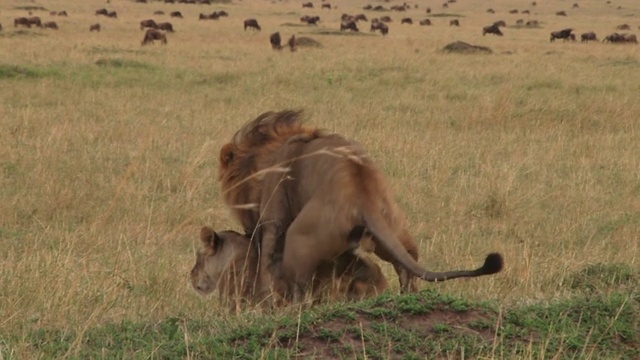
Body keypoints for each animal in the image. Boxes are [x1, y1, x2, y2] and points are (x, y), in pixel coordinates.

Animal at [220, 111, 504, 302]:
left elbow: (266, 268)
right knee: (407, 267)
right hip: (395, 230)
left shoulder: (272, 220)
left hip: (299, 241)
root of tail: (362, 197)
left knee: (300, 289)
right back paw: (407, 299)